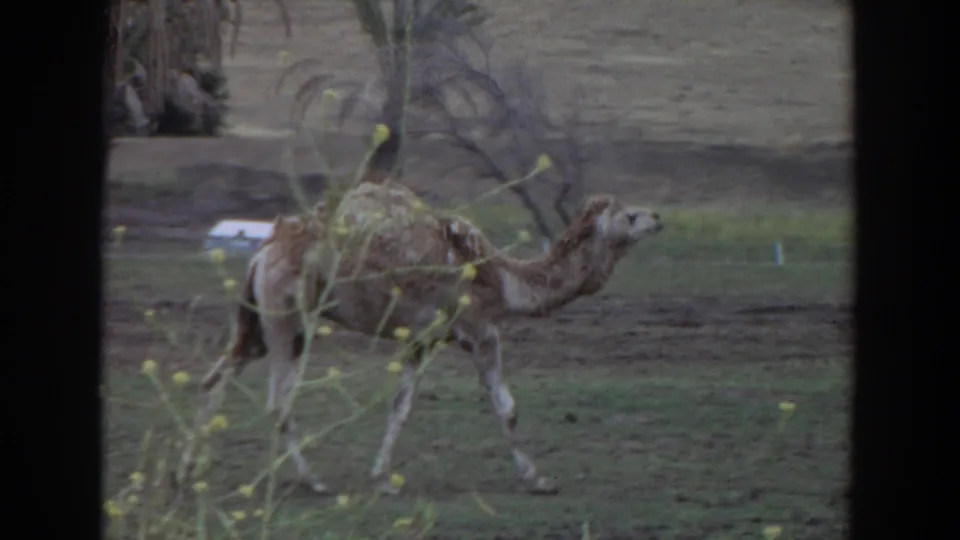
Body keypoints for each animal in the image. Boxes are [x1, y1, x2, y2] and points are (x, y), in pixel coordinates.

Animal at [195, 130, 664, 495]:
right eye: (630, 215)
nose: (658, 217)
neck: (503, 279)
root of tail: (262, 253)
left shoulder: (421, 340)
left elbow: (400, 406)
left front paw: (382, 478)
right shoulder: (481, 331)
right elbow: (506, 406)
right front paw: (537, 478)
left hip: (258, 320)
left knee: (218, 374)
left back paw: (195, 469)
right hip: (289, 319)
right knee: (278, 401)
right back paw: (312, 481)